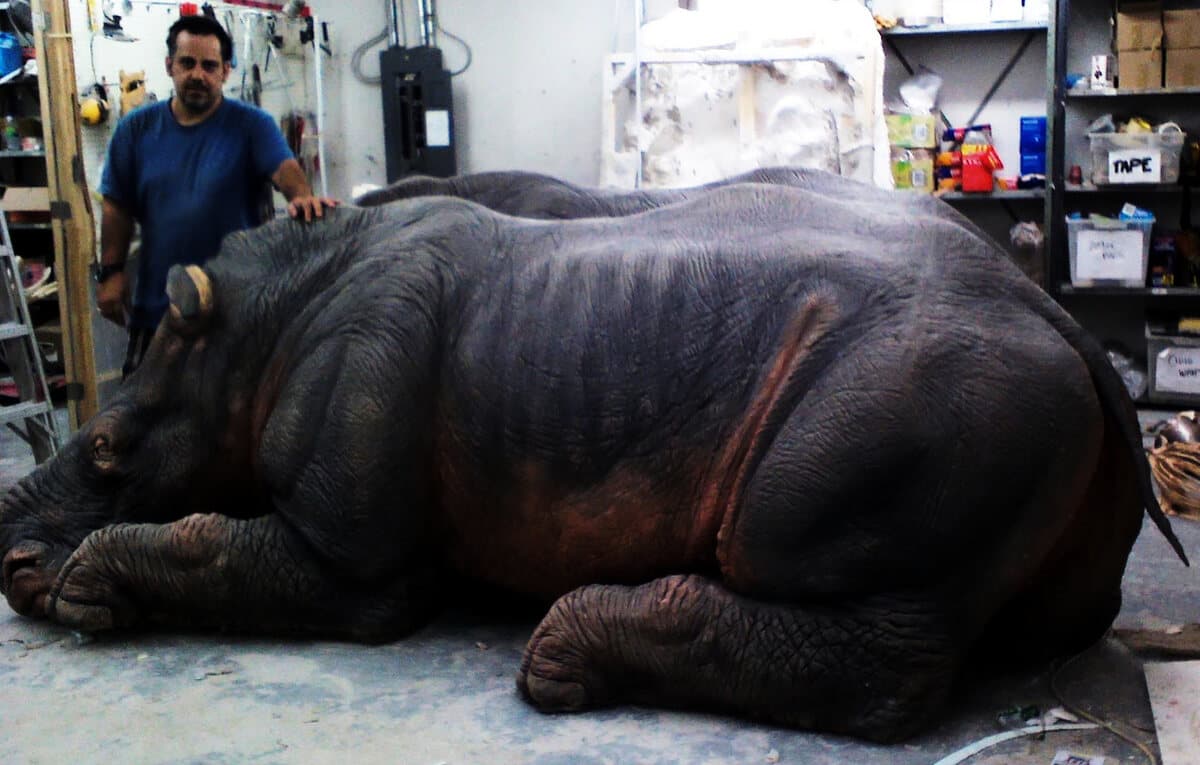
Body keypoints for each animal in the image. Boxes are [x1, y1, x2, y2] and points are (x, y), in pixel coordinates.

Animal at [0, 174, 1186, 742]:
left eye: (105, 450)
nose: (9, 558)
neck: (256, 328)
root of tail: (1050, 310)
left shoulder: (352, 554)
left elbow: (244, 554)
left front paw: (84, 587)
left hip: (942, 375)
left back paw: (563, 659)